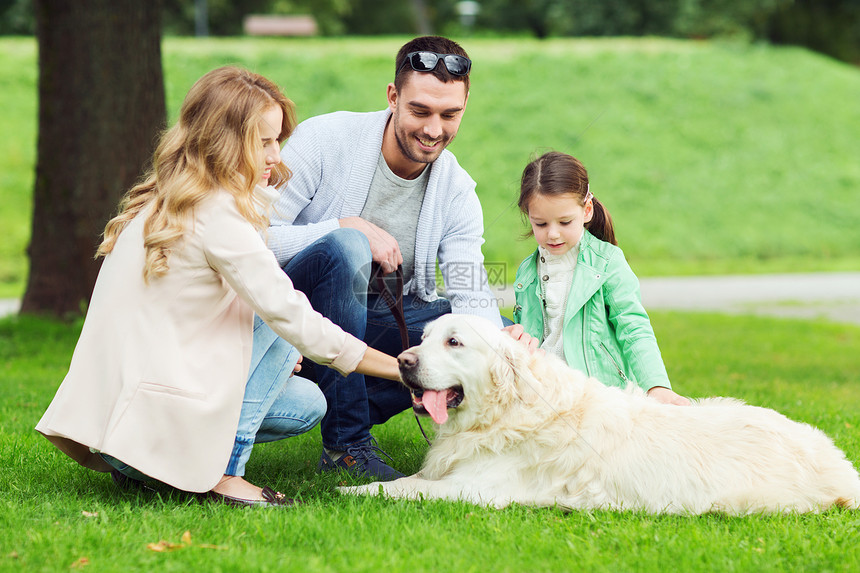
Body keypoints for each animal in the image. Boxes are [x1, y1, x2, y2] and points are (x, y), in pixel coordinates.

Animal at [340, 312, 860, 512]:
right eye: (425, 338)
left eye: (454, 342)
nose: (404, 361)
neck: (508, 410)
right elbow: (409, 480)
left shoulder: (476, 490)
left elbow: (402, 489)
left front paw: (348, 490)